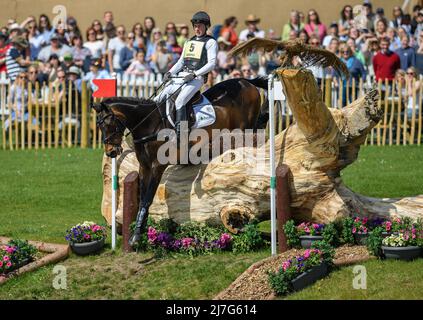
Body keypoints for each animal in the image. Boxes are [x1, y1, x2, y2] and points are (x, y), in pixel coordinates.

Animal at [93, 76, 268, 246]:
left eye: (109, 124)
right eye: (99, 126)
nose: (111, 152)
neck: (149, 124)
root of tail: (246, 82)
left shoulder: (157, 166)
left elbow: (148, 199)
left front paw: (136, 236)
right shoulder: (144, 166)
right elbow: (143, 199)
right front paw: (139, 230)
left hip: (245, 129)